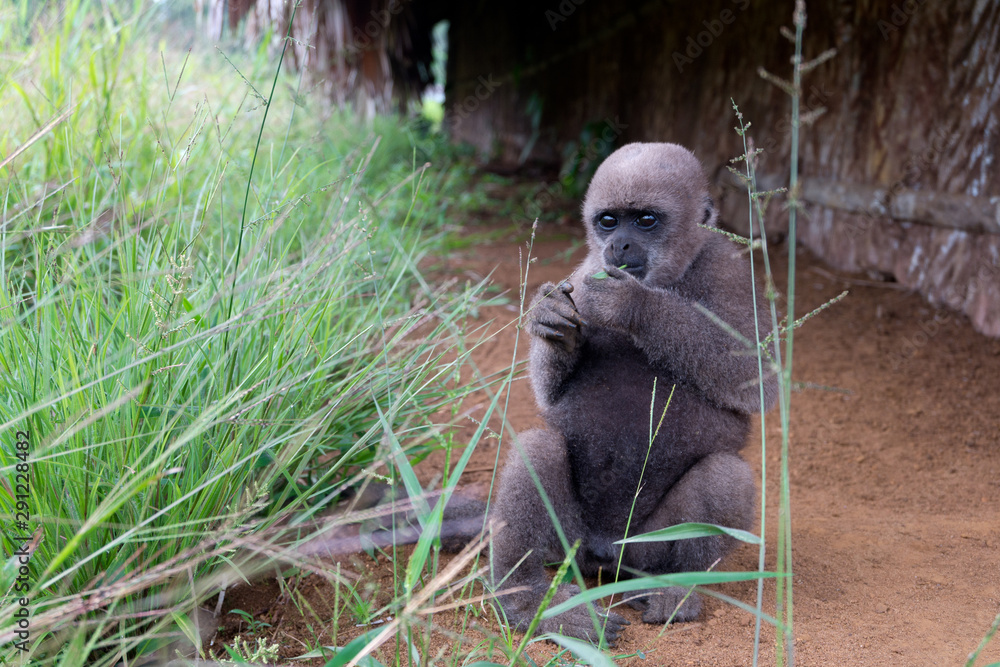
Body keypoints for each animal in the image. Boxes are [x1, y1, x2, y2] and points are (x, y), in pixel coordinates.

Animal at [489, 142, 779, 644]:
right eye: (608, 221)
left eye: (645, 220)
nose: (619, 245)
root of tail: (604, 550)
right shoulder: (586, 269)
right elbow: (549, 397)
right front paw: (548, 318)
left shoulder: (730, 269)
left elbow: (757, 378)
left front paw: (632, 305)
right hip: (571, 544)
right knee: (538, 447)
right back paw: (528, 600)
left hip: (643, 548)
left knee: (725, 475)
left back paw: (676, 587)